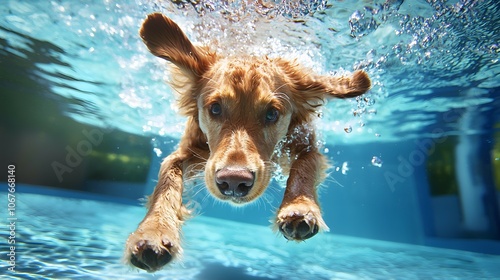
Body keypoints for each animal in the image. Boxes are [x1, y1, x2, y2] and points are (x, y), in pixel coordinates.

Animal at [123, 12, 370, 272]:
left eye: (272, 113)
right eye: (215, 108)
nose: (233, 181)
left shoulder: (307, 146)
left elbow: (304, 167)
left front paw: (299, 207)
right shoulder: (185, 151)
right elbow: (166, 180)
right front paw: (153, 232)